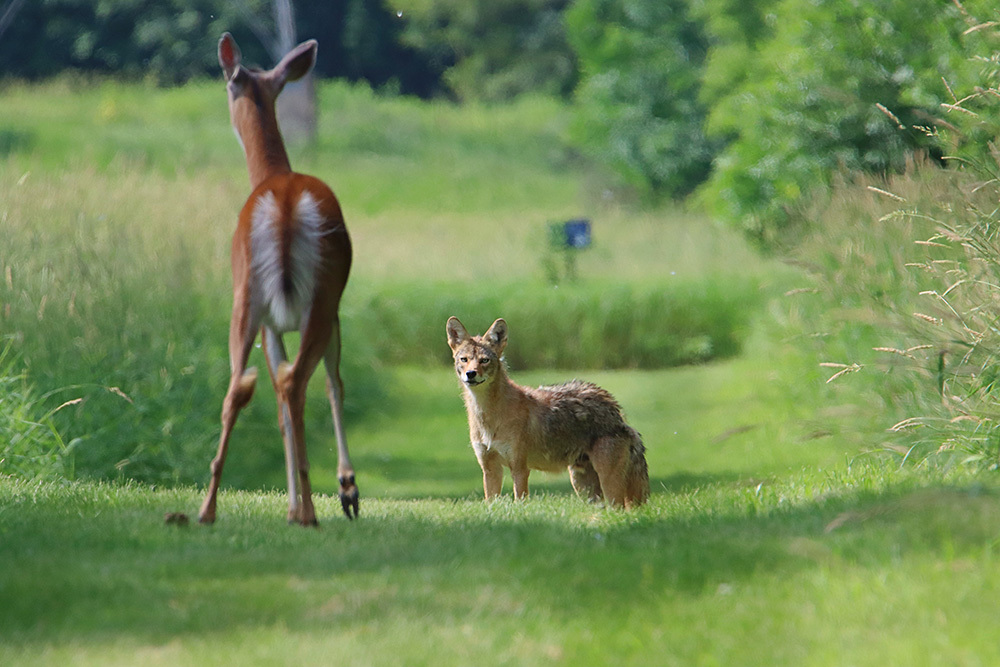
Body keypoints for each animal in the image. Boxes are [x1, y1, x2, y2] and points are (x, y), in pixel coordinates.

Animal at [198, 32, 358, 526]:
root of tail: (286, 206)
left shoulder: (273, 322)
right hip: (317, 300)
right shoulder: (328, 312)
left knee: (240, 389)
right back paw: (308, 509)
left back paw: (208, 508)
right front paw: (345, 488)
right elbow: (330, 385)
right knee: (295, 384)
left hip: (247, 299)